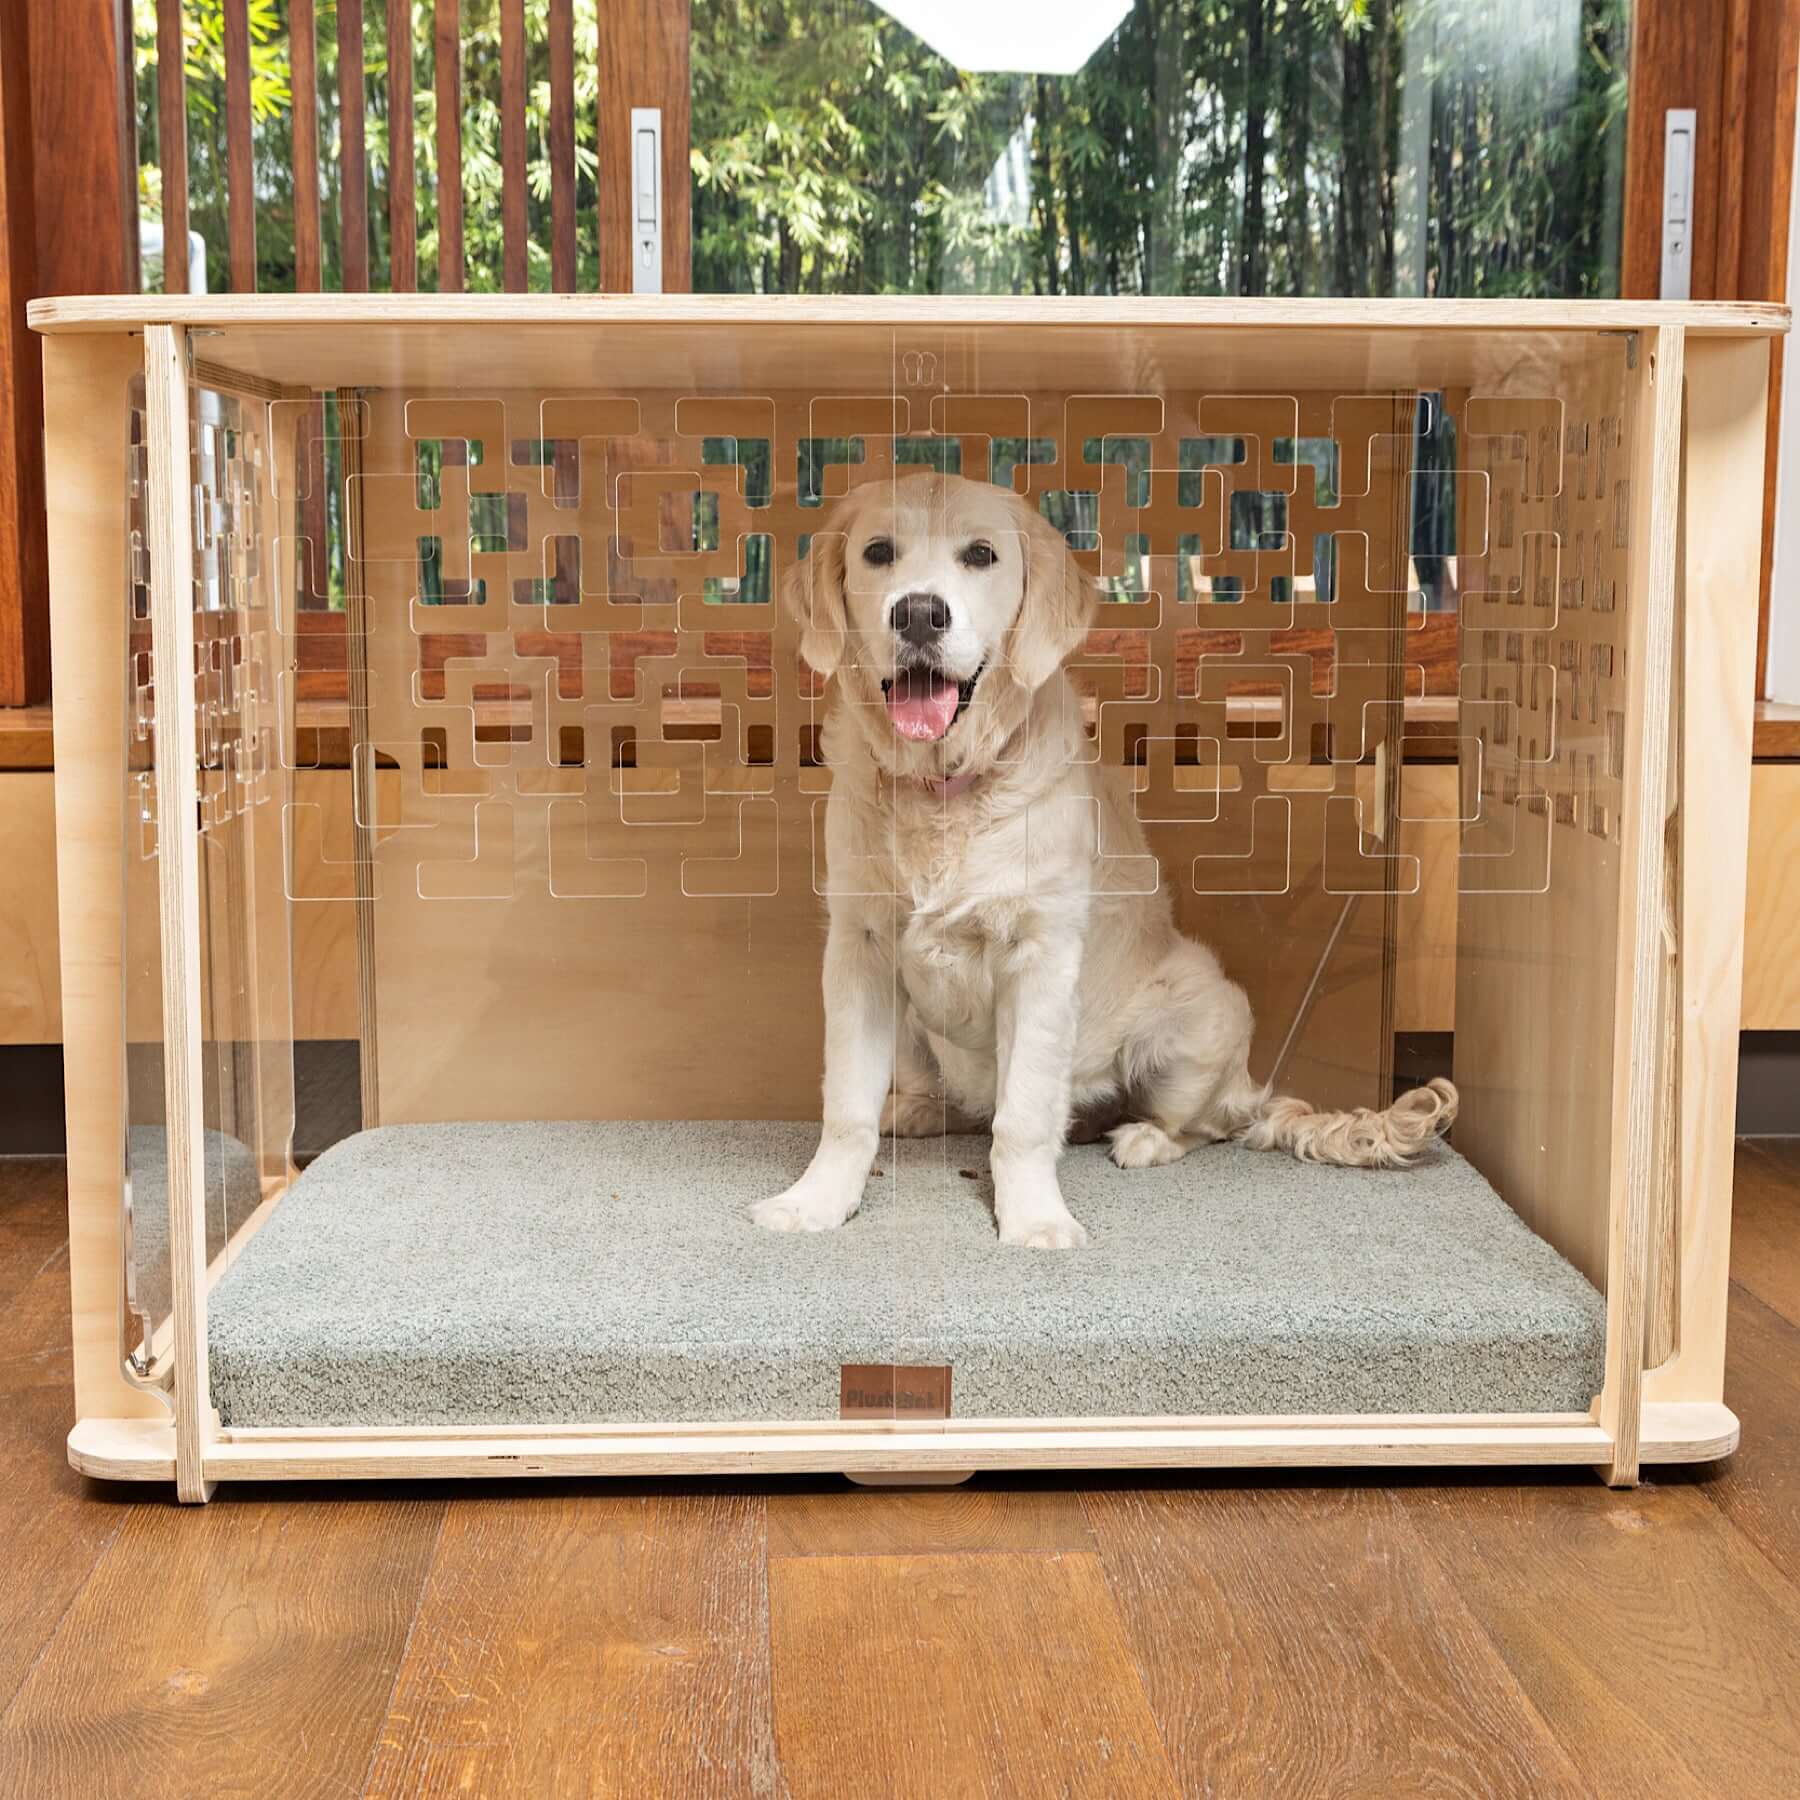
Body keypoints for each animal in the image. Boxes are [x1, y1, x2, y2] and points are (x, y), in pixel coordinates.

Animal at [752, 471, 1454, 1245]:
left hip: (1203, 1009)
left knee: (1202, 1125)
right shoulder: (863, 946)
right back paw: (913, 1109)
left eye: (981, 555)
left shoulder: (1040, 955)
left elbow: (1025, 1117)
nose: (919, 615)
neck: (944, 789)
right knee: (953, 1100)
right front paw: (818, 1199)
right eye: (878, 551)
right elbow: (846, 1103)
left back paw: (1144, 1137)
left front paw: (1034, 1219)